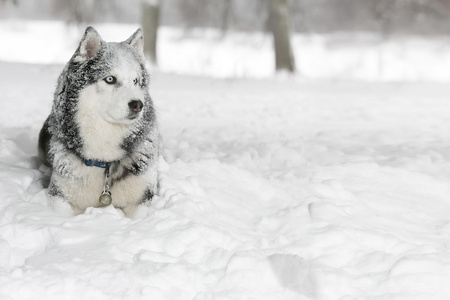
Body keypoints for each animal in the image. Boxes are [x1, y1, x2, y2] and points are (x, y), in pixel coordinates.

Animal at [37, 26, 160, 218]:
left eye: (136, 81)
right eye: (110, 79)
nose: (138, 105)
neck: (104, 160)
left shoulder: (143, 200)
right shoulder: (60, 198)